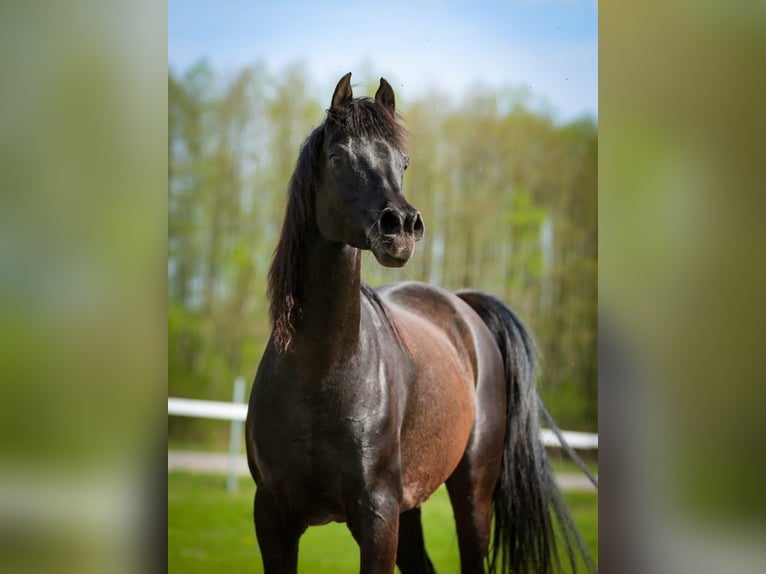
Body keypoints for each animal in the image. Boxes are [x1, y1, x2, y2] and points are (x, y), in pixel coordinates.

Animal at [245, 72, 596, 574]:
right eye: (338, 157)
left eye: (403, 162)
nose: (402, 227)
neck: (319, 372)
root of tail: (463, 308)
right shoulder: (272, 518)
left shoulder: (377, 517)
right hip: (410, 509)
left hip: (471, 495)